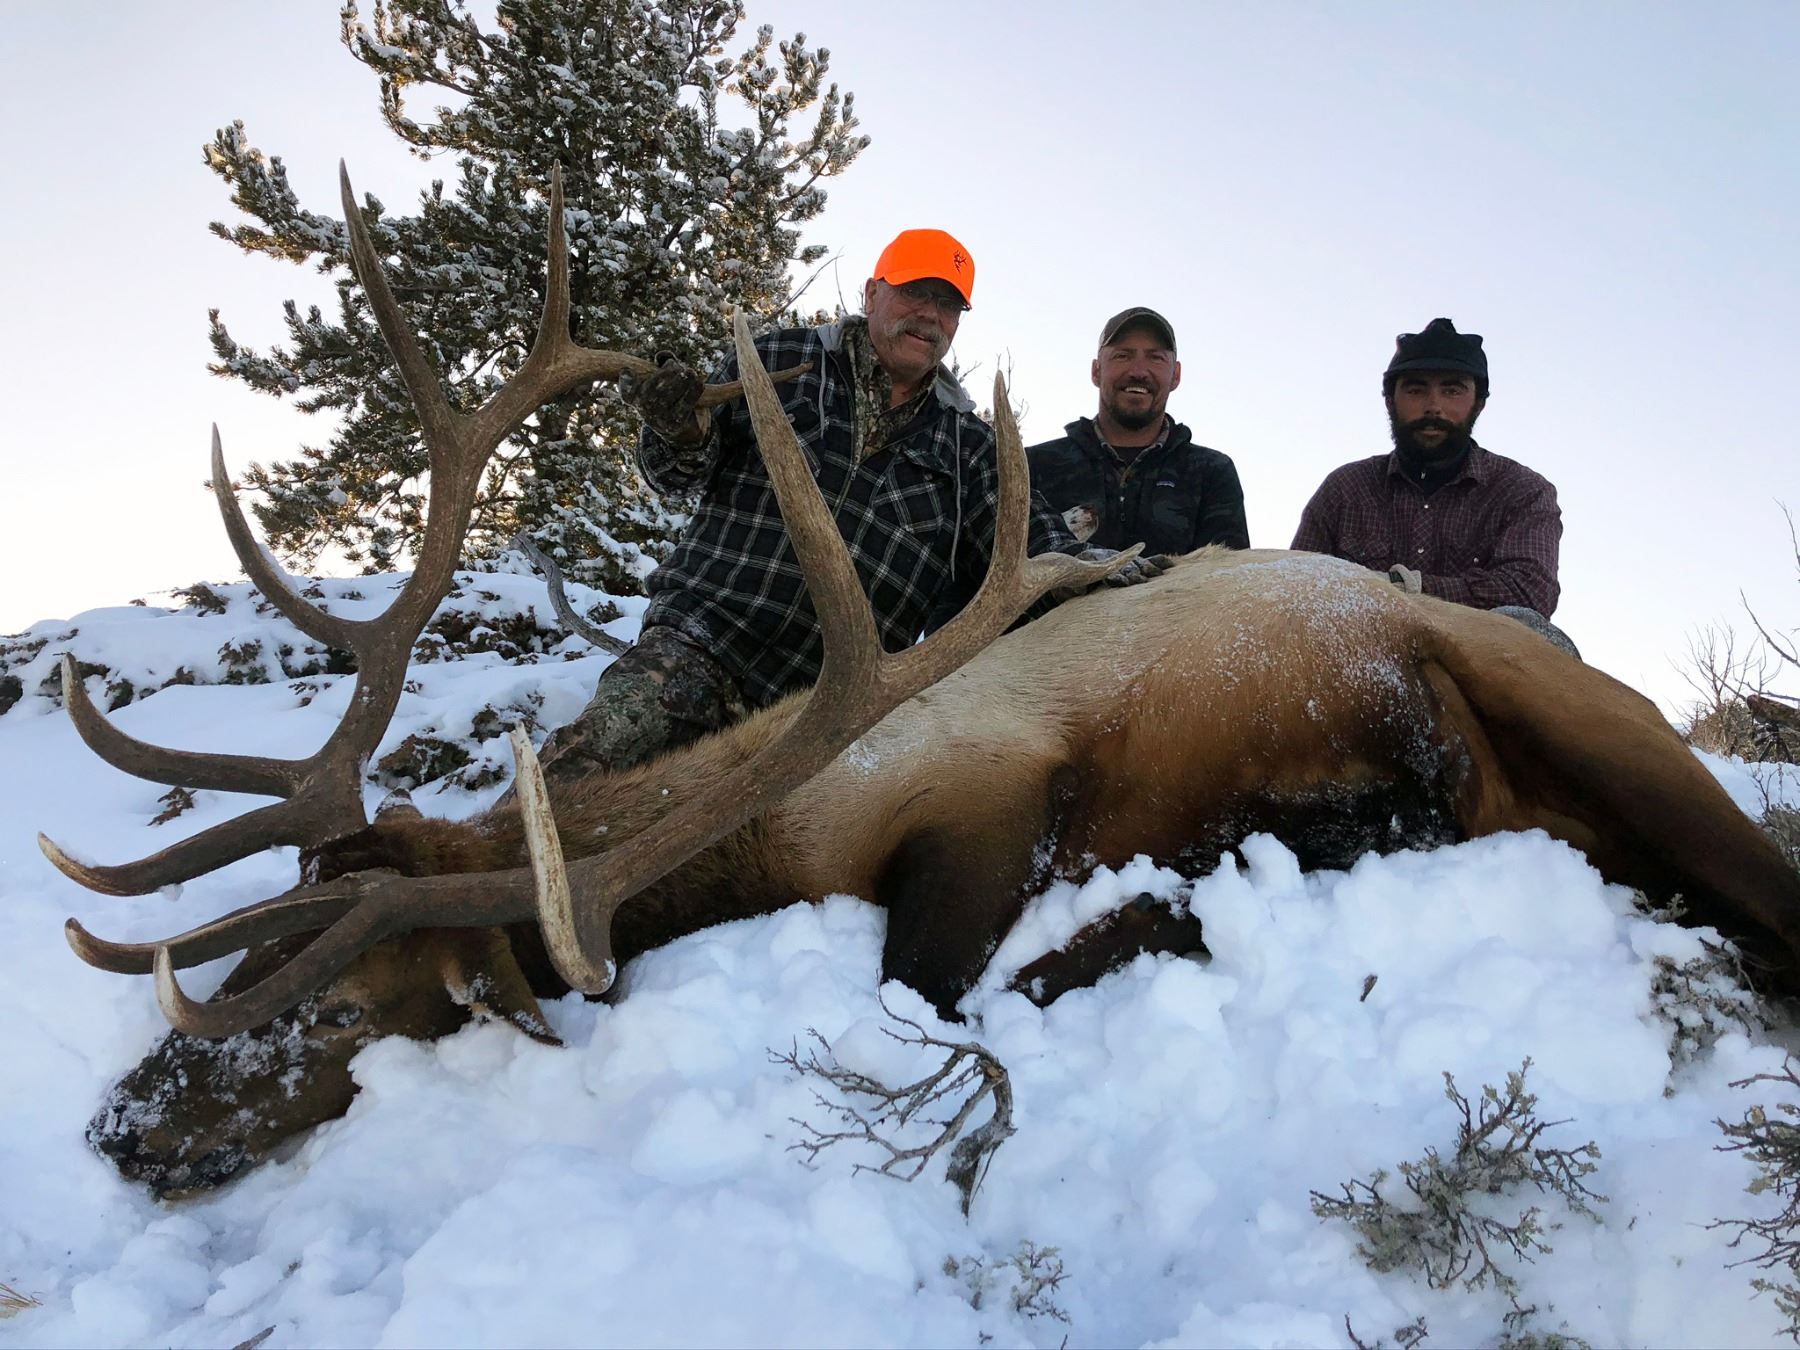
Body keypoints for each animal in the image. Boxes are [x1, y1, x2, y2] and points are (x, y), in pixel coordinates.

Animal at [43, 168, 1800, 1200]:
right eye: (256, 939)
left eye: (347, 1001)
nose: (121, 1129)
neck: (763, 827)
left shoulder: (989, 796)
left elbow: (955, 986)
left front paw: (1161, 911)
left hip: (1595, 725)